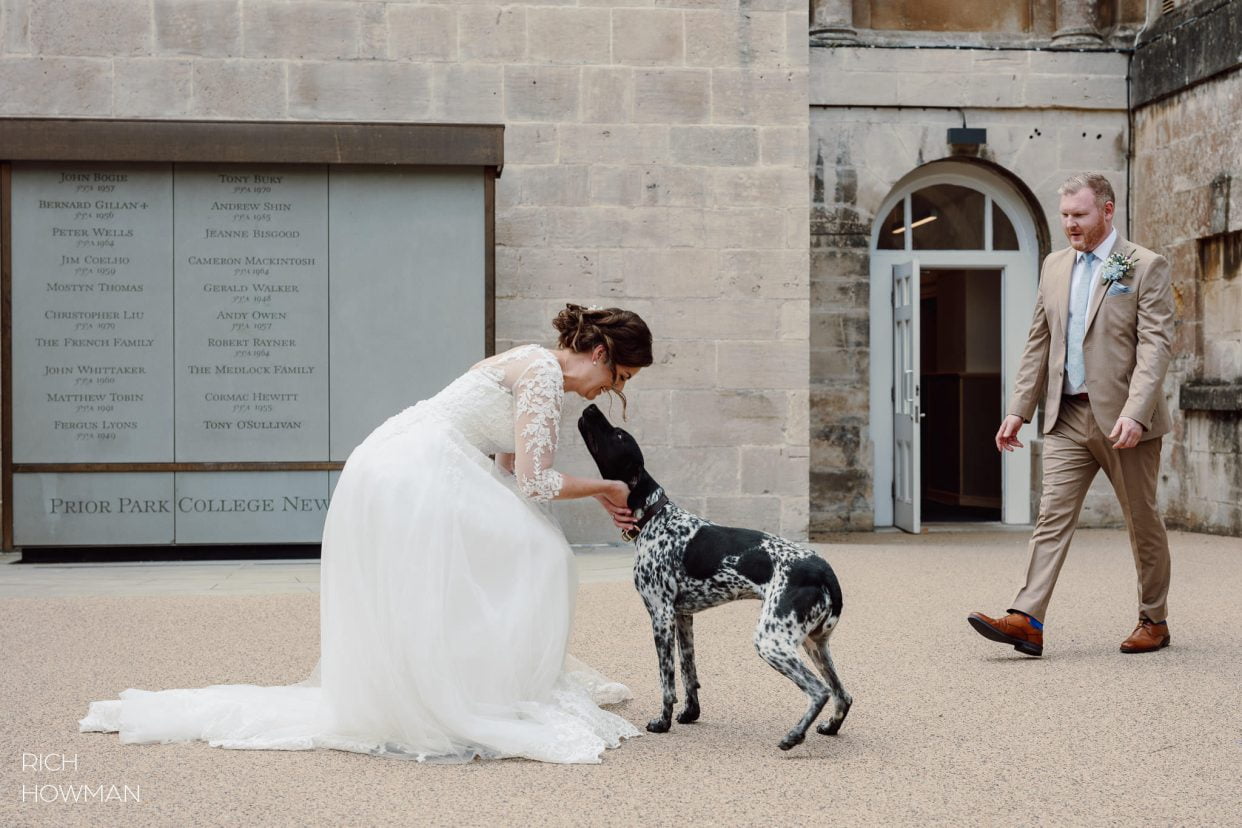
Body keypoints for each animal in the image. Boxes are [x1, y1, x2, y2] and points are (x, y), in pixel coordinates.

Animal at [576, 404, 849, 749]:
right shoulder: (683, 617)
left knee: (820, 690)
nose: (590, 407)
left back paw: (794, 735)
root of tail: (824, 569)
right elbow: (688, 671)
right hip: (815, 643)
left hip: (772, 640)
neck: (655, 517)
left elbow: (667, 680)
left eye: (619, 434)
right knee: (843, 694)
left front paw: (663, 722)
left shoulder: (661, 616)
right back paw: (830, 727)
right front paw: (690, 714)